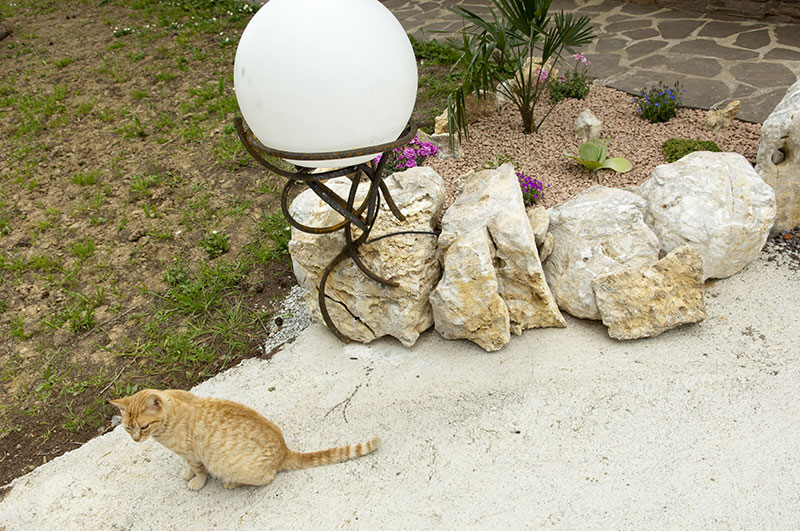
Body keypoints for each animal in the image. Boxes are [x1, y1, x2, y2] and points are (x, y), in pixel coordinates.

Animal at [109, 388, 380, 491]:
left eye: (144, 426)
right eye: (127, 428)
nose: (136, 440)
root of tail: (284, 450)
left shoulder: (193, 453)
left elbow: (199, 469)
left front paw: (196, 481)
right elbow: (190, 467)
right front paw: (187, 473)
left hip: (238, 468)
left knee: (268, 477)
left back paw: (231, 483)